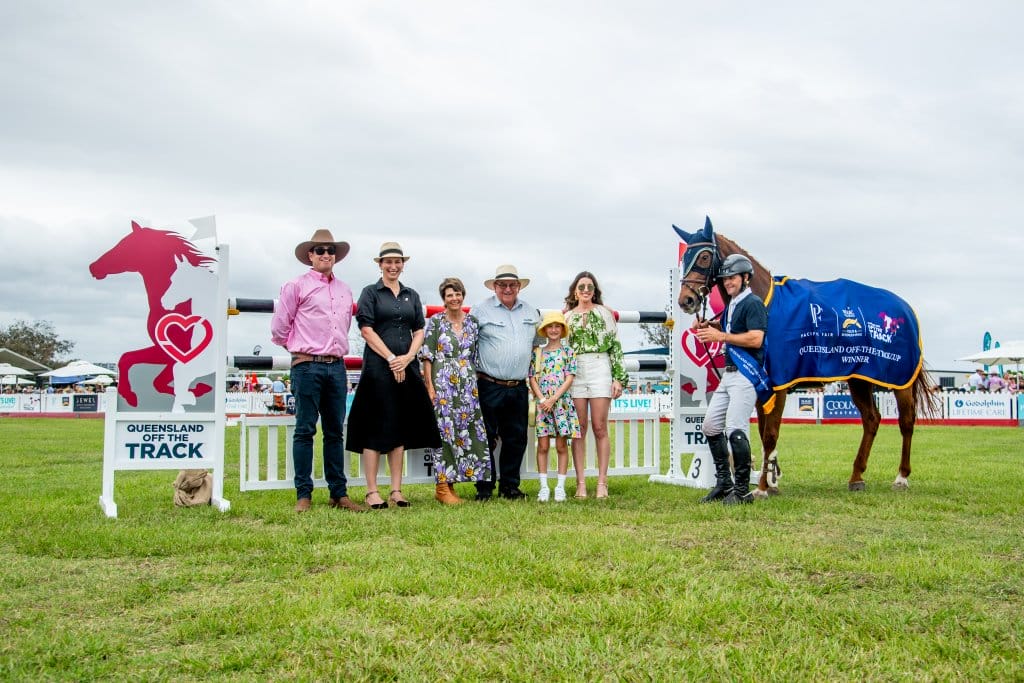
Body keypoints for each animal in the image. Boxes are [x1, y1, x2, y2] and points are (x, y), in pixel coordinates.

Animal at [671, 219, 937, 497]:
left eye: (703, 256)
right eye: (684, 258)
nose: (686, 300)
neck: (765, 303)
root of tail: (905, 307)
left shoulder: (777, 385)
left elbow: (770, 434)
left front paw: (763, 488)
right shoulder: (761, 384)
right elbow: (763, 432)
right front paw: (772, 480)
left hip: (900, 380)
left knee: (906, 421)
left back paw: (901, 477)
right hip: (859, 379)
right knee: (871, 420)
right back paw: (856, 477)